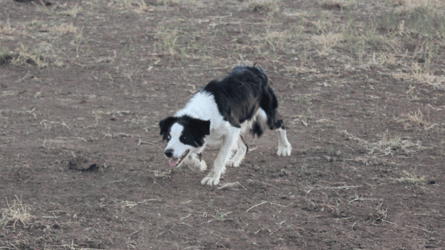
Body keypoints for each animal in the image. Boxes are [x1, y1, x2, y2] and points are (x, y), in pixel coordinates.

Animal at [160, 66, 292, 186]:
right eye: (168, 137)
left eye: (185, 138)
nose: (167, 153)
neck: (204, 116)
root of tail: (255, 69)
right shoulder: (230, 129)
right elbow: (188, 156)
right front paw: (199, 165)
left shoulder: (231, 129)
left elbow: (220, 157)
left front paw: (212, 177)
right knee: (244, 146)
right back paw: (235, 159)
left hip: (267, 118)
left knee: (281, 124)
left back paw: (284, 148)